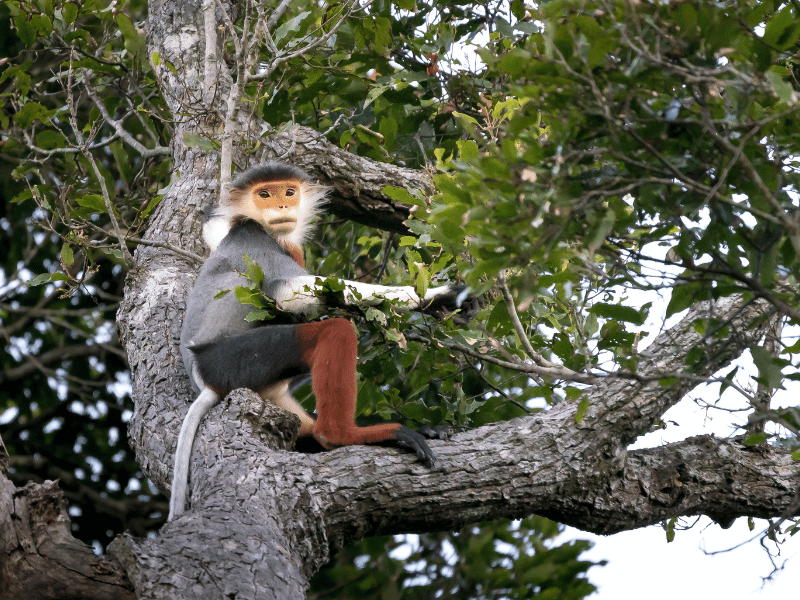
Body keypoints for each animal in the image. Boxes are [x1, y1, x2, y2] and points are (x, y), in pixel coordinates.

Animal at [169, 162, 470, 520]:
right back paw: (342, 436)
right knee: (333, 331)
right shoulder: (255, 241)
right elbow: (292, 291)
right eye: (264, 194)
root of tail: (203, 377)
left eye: (289, 192)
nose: (282, 206)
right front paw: (438, 296)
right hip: (233, 361)